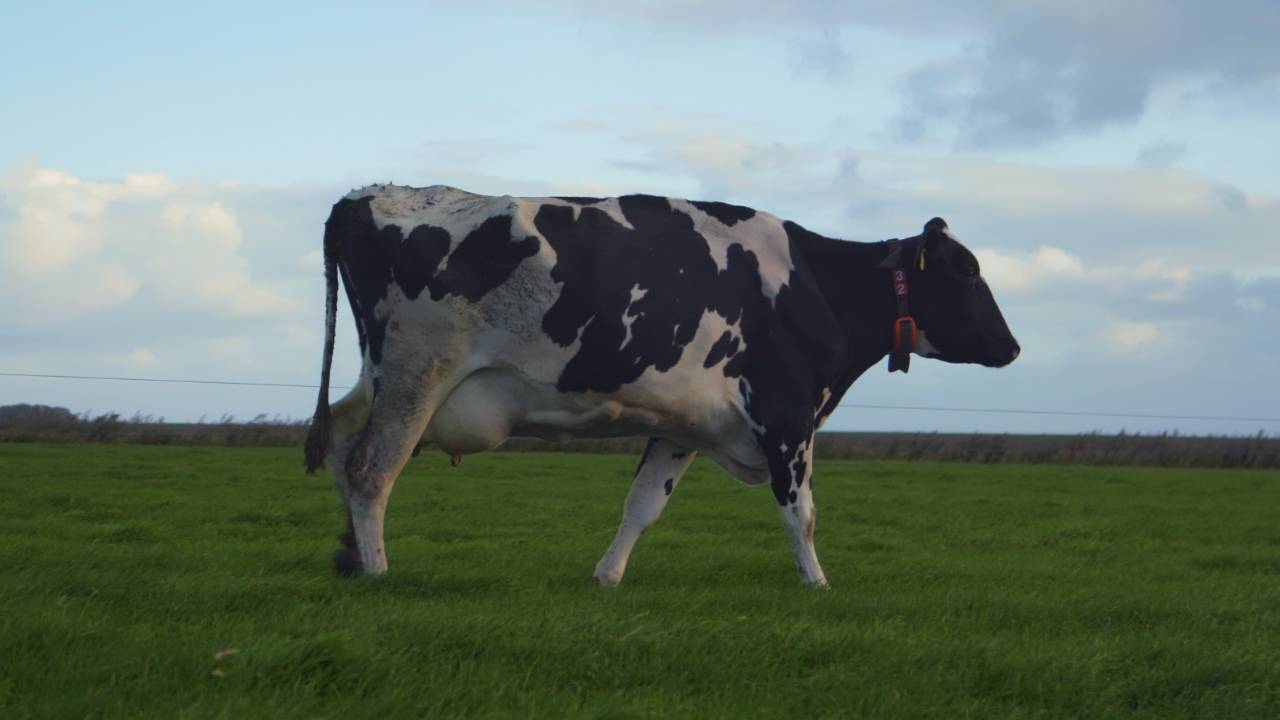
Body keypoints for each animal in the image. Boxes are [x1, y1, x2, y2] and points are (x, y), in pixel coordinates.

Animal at [304, 184, 1019, 587]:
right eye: (967, 272)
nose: (1012, 347)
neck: (817, 286)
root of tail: (365, 195)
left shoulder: (684, 428)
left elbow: (642, 507)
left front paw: (606, 578)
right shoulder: (787, 415)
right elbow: (802, 513)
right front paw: (818, 584)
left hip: (379, 379)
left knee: (340, 441)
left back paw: (347, 558)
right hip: (416, 375)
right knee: (372, 469)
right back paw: (378, 571)